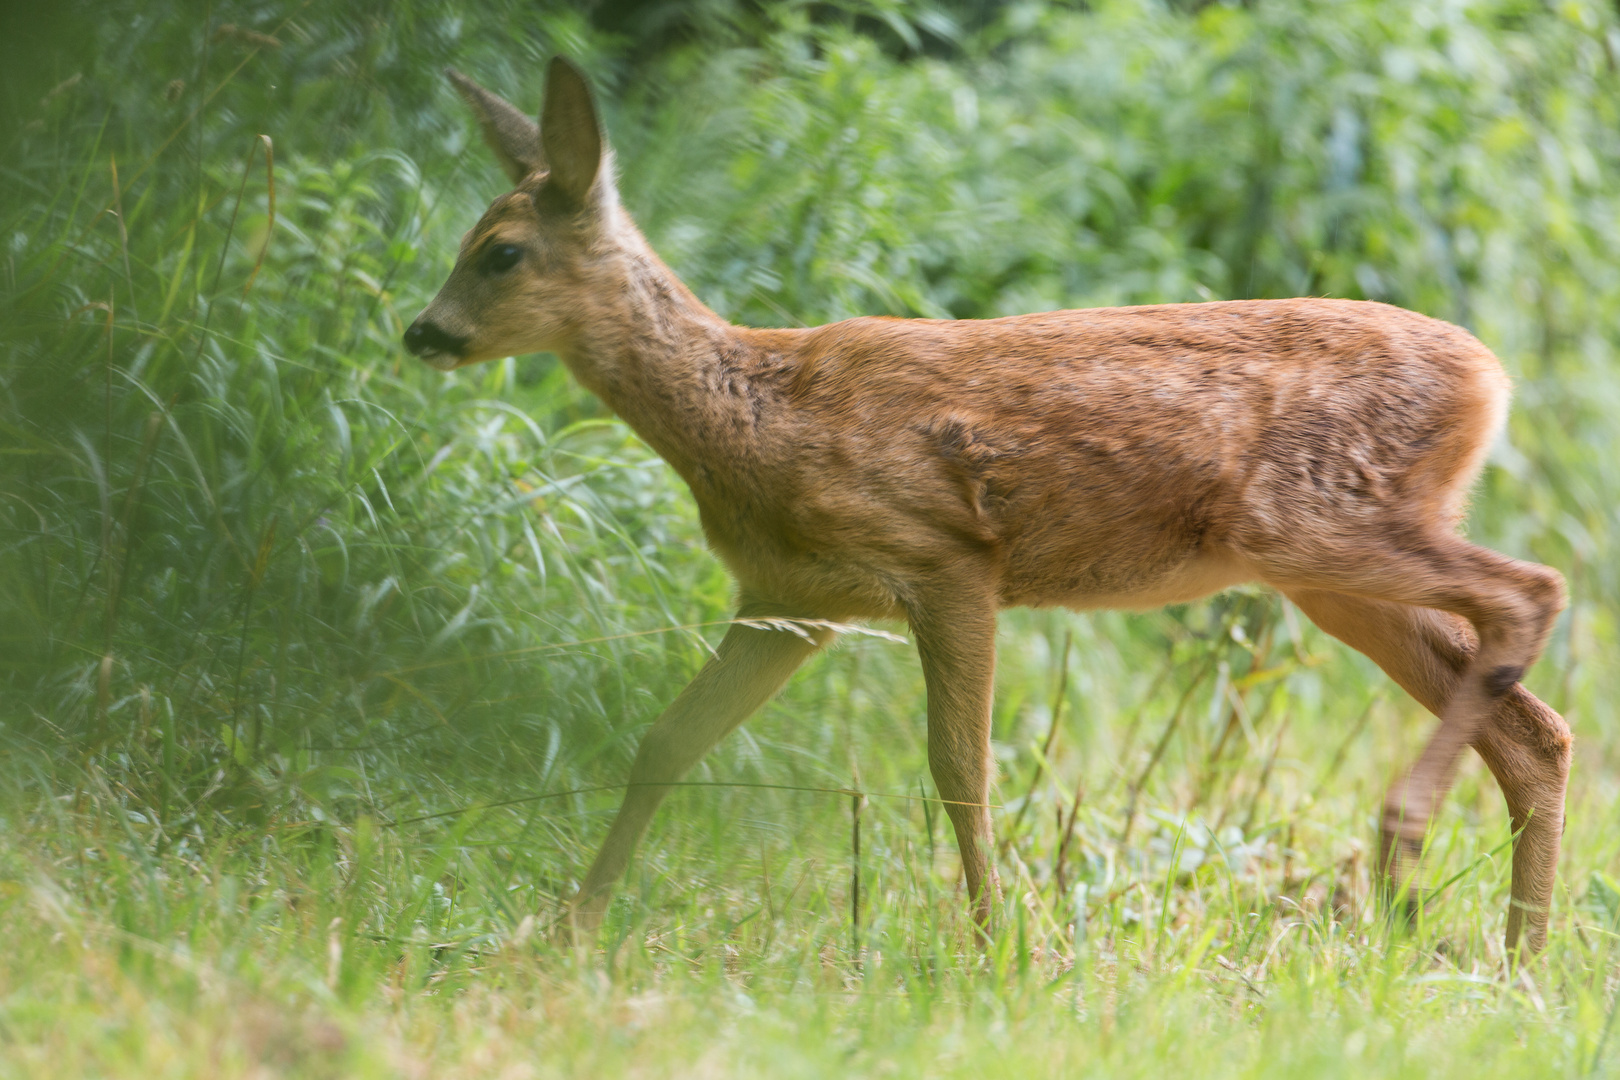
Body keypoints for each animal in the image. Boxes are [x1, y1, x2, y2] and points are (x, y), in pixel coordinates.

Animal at [405, 57, 1568, 952]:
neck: (756, 416)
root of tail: (1493, 378)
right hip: (1326, 569)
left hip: (1311, 520)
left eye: (501, 252)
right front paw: (568, 929)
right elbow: (665, 742)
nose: (423, 332)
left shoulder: (946, 554)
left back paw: (1407, 841)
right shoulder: (790, 600)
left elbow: (960, 768)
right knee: (1536, 727)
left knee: (1534, 591)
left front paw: (994, 944)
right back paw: (1517, 962)